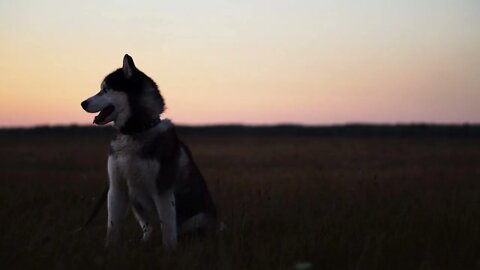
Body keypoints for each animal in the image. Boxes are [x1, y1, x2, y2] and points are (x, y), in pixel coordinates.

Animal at [81, 54, 217, 251]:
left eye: (105, 90)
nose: (82, 103)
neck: (135, 132)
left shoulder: (163, 189)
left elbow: (168, 229)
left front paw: (169, 252)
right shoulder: (116, 187)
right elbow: (112, 226)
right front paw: (109, 250)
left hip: (199, 218)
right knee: (149, 228)